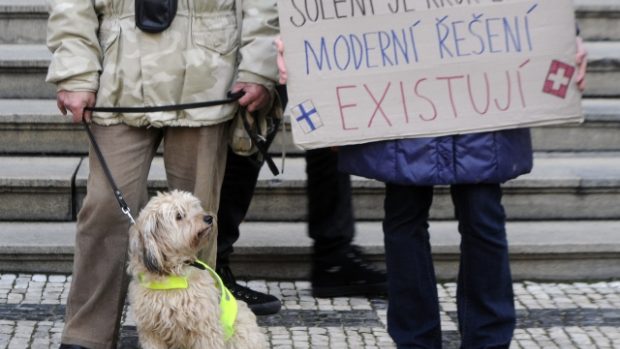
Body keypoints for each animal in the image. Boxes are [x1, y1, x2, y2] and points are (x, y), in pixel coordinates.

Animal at [127, 190, 268, 348]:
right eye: (179, 216)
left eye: (194, 207)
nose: (209, 217)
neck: (173, 273)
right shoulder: (151, 332)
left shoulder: (205, 329)